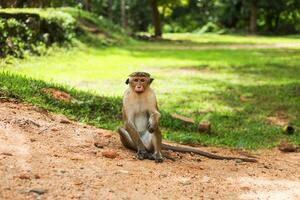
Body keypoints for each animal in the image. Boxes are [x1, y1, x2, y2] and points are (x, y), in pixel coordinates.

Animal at [118, 72, 258, 162]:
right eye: (135, 80)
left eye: (142, 80)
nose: (139, 86)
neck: (139, 94)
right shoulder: (126, 97)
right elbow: (128, 122)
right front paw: (141, 151)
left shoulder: (152, 95)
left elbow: (155, 114)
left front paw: (153, 122)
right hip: (135, 141)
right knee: (122, 130)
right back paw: (143, 151)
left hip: (150, 141)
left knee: (156, 128)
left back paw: (157, 153)